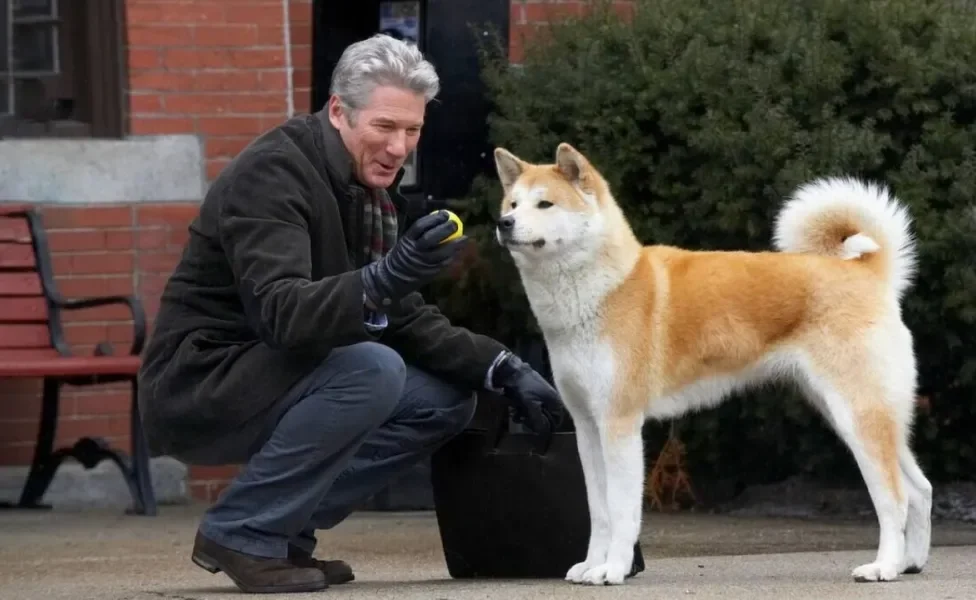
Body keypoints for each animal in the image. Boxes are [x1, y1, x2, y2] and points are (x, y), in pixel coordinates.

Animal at [492, 143, 936, 584]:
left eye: (544, 203)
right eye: (513, 203)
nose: (503, 222)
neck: (606, 288)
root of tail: (867, 273)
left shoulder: (620, 424)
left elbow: (621, 511)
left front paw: (613, 570)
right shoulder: (587, 427)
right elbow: (599, 511)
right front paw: (591, 565)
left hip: (857, 417)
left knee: (894, 498)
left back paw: (883, 567)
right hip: (860, 415)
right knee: (920, 489)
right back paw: (910, 562)